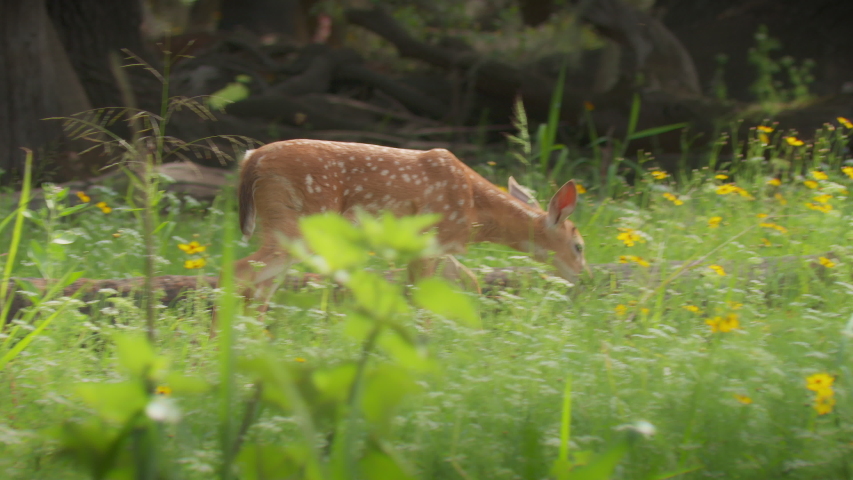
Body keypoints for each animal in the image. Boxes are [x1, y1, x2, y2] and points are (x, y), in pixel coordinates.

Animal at [231, 139, 588, 308]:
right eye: (579, 246)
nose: (587, 278)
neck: (477, 212)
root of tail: (251, 159)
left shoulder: (438, 247)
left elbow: (469, 282)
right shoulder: (429, 242)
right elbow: (422, 298)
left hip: (279, 226)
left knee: (258, 287)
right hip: (305, 222)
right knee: (240, 272)